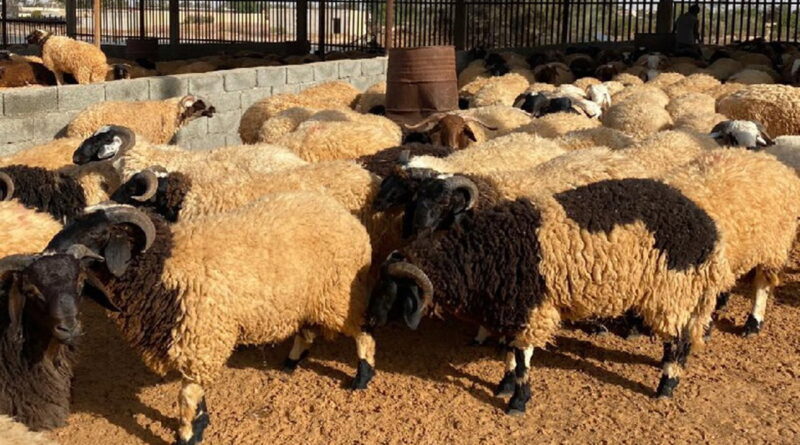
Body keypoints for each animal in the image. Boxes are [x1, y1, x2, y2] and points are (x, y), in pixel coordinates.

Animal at [37, 199, 375, 444]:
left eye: (97, 234)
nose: (48, 253)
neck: (165, 266)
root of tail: (343, 214)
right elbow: (195, 393)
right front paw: (201, 422)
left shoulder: (201, 338)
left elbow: (186, 396)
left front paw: (188, 435)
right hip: (305, 297)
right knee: (306, 330)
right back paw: (291, 363)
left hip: (340, 293)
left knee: (363, 329)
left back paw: (362, 377)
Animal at [367, 178, 734, 414]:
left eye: (392, 290)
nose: (370, 318)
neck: (484, 249)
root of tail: (708, 227)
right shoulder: (512, 309)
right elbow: (510, 354)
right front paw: (504, 385)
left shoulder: (532, 308)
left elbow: (523, 358)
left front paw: (518, 402)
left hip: (670, 291)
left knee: (677, 340)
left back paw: (665, 386)